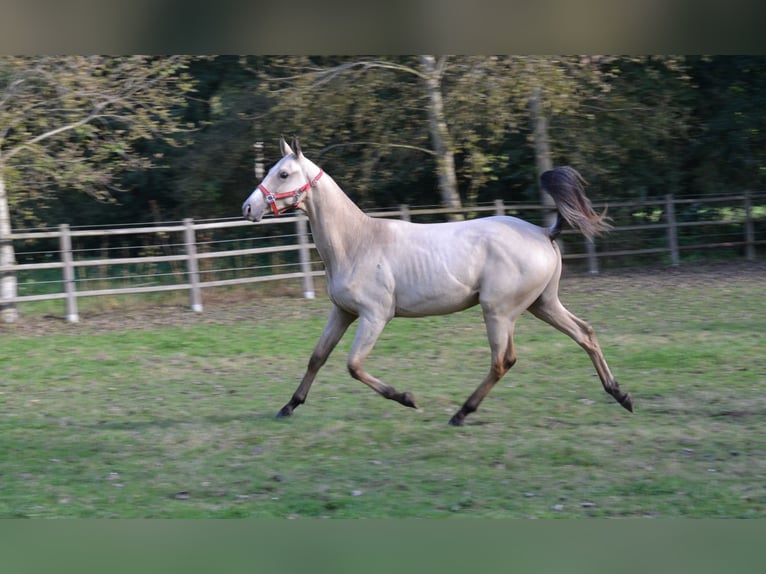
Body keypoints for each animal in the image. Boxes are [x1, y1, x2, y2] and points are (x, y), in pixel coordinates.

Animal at [243, 138, 632, 428]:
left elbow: (353, 366)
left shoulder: (375, 316)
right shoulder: (342, 312)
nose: (248, 208)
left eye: (283, 173)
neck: (357, 242)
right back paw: (620, 395)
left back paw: (461, 413)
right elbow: (317, 357)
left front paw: (407, 398)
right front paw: (289, 406)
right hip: (543, 304)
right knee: (584, 333)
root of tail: (543, 232)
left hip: (499, 311)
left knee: (503, 360)